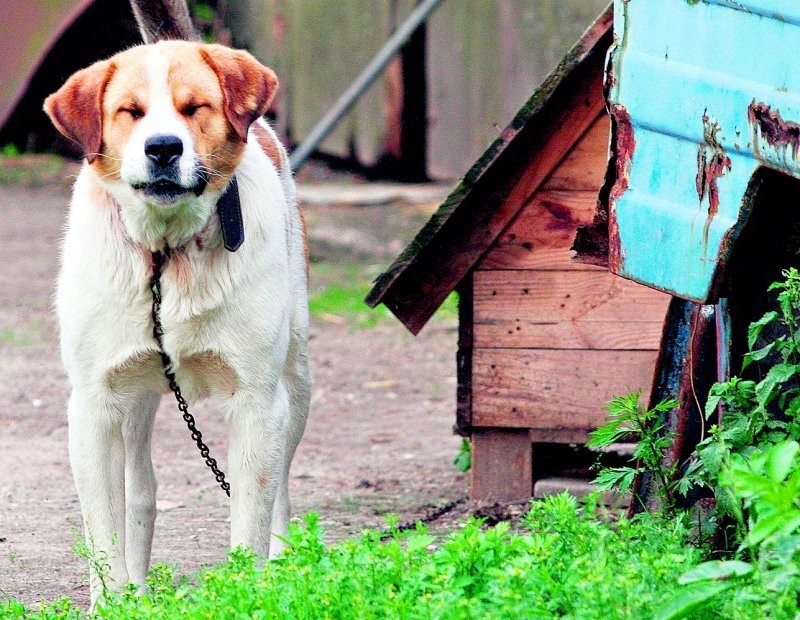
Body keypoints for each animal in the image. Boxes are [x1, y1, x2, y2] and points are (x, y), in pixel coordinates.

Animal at [43, 41, 312, 604]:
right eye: (131, 111)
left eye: (194, 108)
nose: (163, 148)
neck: (166, 256)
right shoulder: (95, 405)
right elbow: (104, 530)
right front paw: (114, 604)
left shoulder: (257, 401)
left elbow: (251, 517)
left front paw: (248, 598)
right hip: (134, 404)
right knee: (140, 491)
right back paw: (140, 588)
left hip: (296, 381)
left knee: (281, 487)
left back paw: (283, 563)